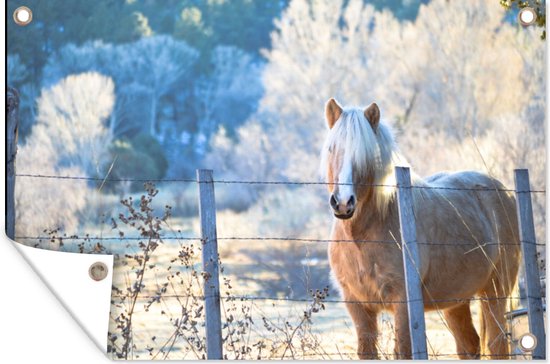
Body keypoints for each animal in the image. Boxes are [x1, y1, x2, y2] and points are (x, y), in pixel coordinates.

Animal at [322, 99, 520, 358]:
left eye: (367, 155)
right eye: (331, 148)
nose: (344, 203)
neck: (363, 238)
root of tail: (504, 191)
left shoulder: (404, 305)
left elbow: (404, 351)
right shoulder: (357, 306)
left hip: (495, 292)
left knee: (497, 345)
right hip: (457, 300)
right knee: (469, 345)